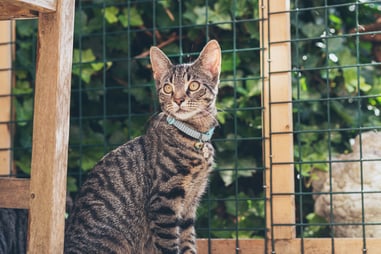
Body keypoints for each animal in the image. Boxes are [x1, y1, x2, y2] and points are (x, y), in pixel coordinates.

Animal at [64, 40, 221, 254]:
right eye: (168, 88)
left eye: (194, 85)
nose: (178, 100)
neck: (193, 137)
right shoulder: (164, 200)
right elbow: (170, 246)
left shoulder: (189, 207)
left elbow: (188, 243)